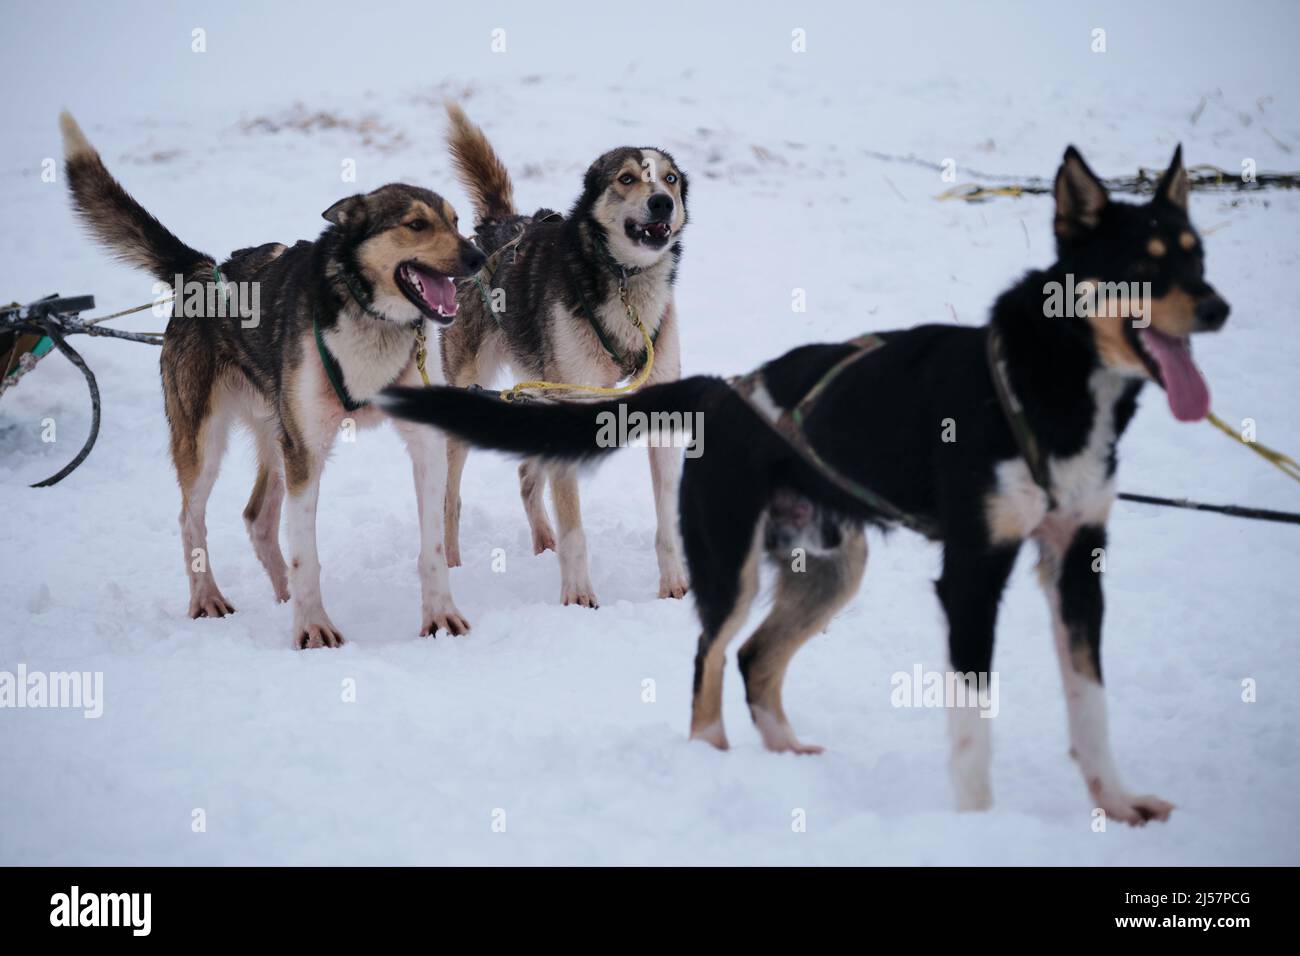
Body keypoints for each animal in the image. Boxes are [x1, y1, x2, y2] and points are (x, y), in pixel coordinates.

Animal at [436, 104, 691, 608]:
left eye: (670, 179)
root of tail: (499, 226)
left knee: (526, 476)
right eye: (627, 178)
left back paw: (542, 540)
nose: (661, 203)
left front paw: (674, 586)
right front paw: (578, 597)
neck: (626, 287)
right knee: (451, 499)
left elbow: (668, 521)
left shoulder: (662, 414)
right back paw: (453, 563)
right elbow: (575, 528)